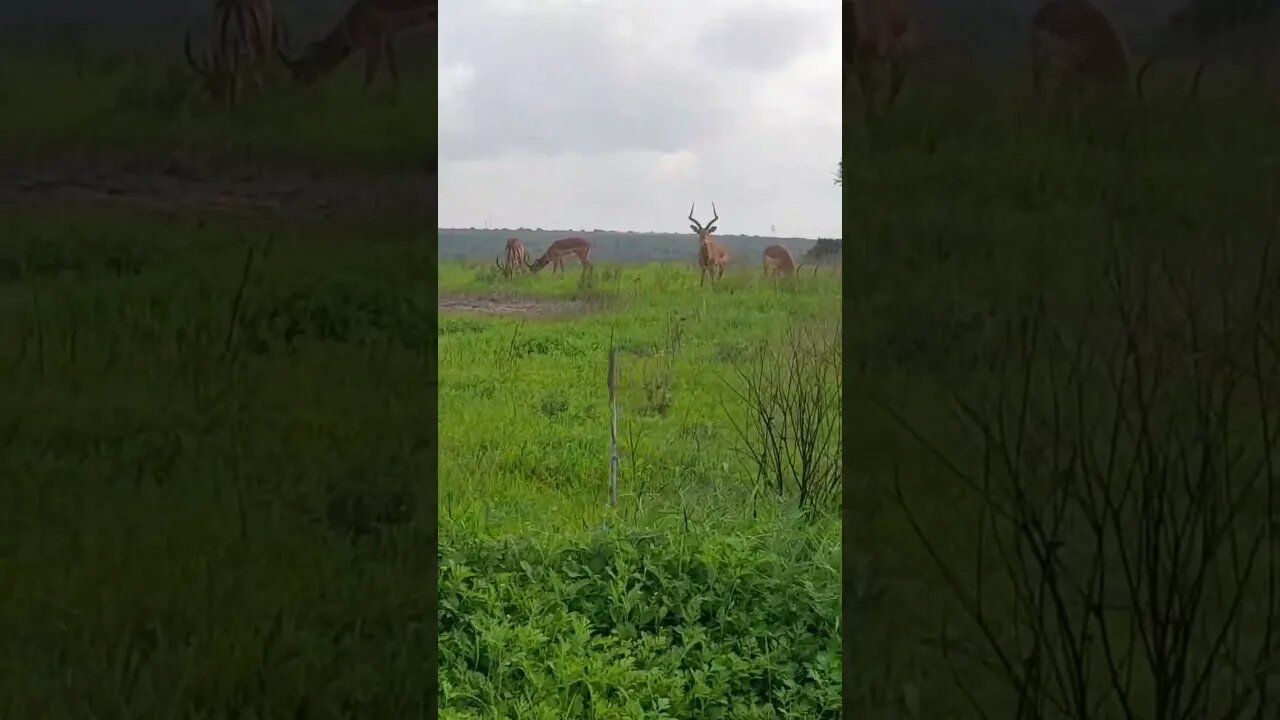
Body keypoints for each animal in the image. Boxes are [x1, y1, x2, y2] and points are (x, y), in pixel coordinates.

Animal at [275, 0, 435, 94]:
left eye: (302, 70)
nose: (298, 90)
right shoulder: (388, 36)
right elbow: (393, 66)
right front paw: (396, 97)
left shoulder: (373, 41)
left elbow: (369, 74)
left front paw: (361, 99)